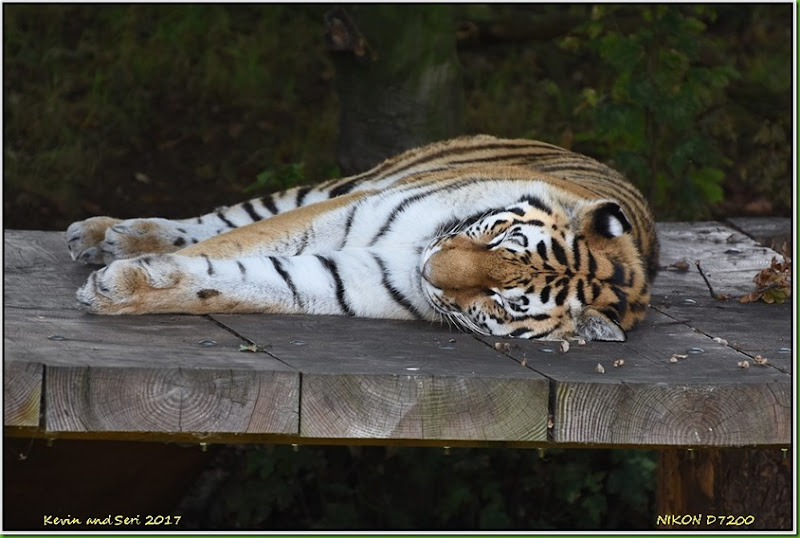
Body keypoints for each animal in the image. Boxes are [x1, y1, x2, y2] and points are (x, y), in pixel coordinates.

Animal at [67, 136, 656, 342]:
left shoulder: (351, 278)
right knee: (225, 218)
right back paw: (104, 234)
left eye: (501, 301)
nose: (428, 269)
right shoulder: (347, 210)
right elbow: (226, 245)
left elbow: (243, 281)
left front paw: (119, 289)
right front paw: (119, 277)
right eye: (499, 237)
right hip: (348, 183)